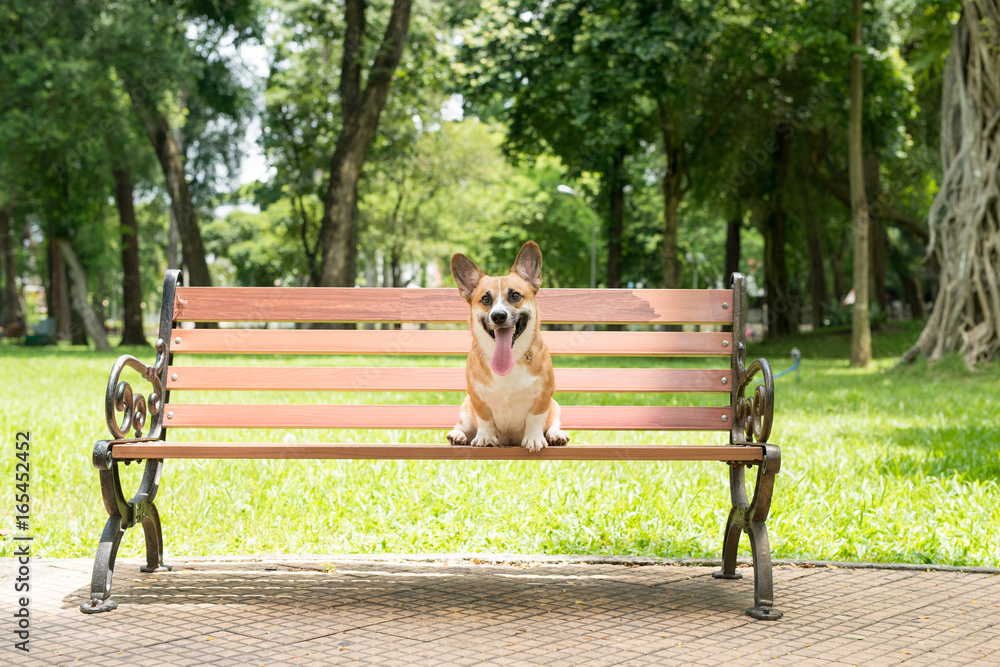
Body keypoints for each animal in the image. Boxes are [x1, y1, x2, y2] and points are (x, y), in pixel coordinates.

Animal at [448, 241, 568, 454]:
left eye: (515, 296)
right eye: (485, 299)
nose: (498, 316)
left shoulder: (544, 396)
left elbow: (535, 418)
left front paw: (534, 439)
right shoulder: (476, 398)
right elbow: (485, 419)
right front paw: (486, 437)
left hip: (556, 407)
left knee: (553, 423)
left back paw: (556, 435)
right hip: (465, 408)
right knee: (464, 425)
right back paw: (458, 435)